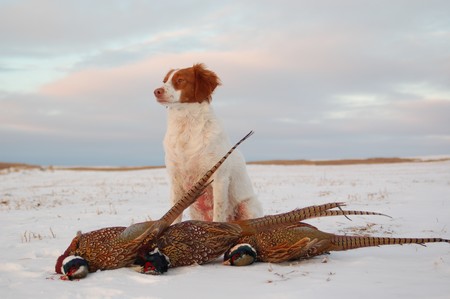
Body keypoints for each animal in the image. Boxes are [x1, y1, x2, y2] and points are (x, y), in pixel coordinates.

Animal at [155, 63, 262, 223]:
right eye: (164, 81)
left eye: (180, 80)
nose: (156, 91)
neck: (186, 128)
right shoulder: (176, 180)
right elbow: (174, 215)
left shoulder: (219, 178)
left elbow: (218, 214)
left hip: (247, 206)